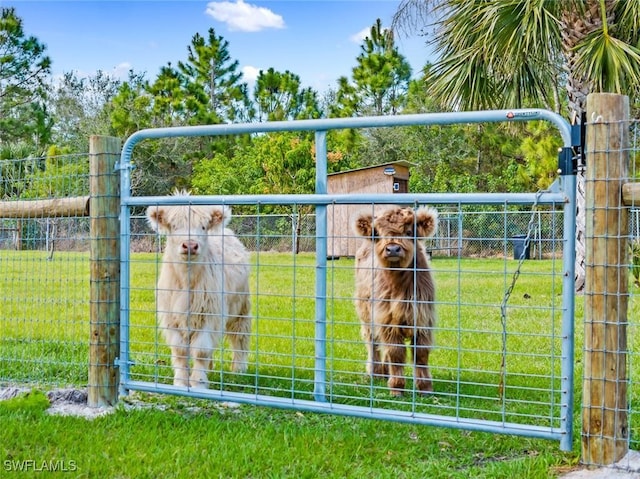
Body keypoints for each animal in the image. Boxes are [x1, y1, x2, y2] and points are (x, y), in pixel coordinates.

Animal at [352, 206, 438, 398]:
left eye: (409, 232)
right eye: (378, 233)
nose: (392, 249)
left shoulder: (422, 319)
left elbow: (421, 353)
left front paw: (425, 388)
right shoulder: (387, 319)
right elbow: (396, 352)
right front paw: (397, 387)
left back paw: (385, 371)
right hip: (366, 313)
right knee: (373, 342)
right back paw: (375, 372)